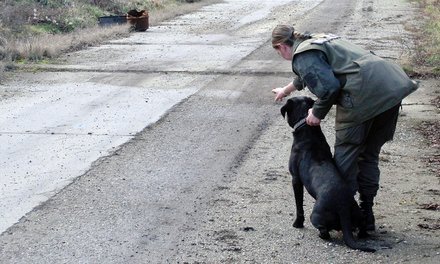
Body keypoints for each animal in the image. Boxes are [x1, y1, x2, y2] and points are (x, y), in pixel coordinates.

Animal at [282, 96, 374, 253]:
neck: (308, 129)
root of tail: (343, 207)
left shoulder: (295, 179)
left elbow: (299, 205)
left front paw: (298, 223)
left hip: (316, 215)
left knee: (324, 231)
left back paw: (321, 235)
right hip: (357, 213)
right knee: (362, 225)